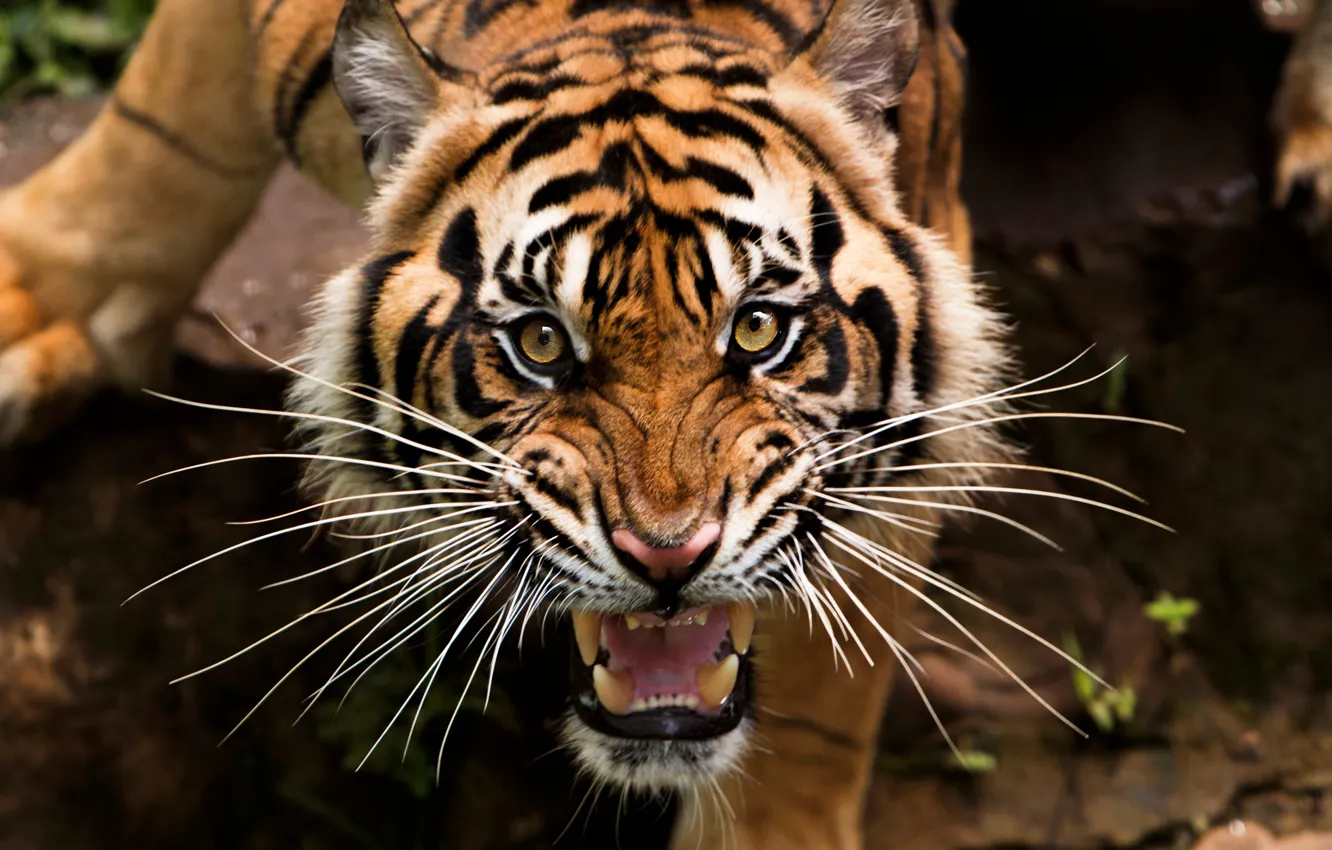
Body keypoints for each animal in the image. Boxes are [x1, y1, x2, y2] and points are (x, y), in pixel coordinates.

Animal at [0, 0, 1056, 847]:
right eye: (542, 342)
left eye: (758, 327)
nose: (669, 556)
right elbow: (165, 134)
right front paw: (35, 312)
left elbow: (831, 681)